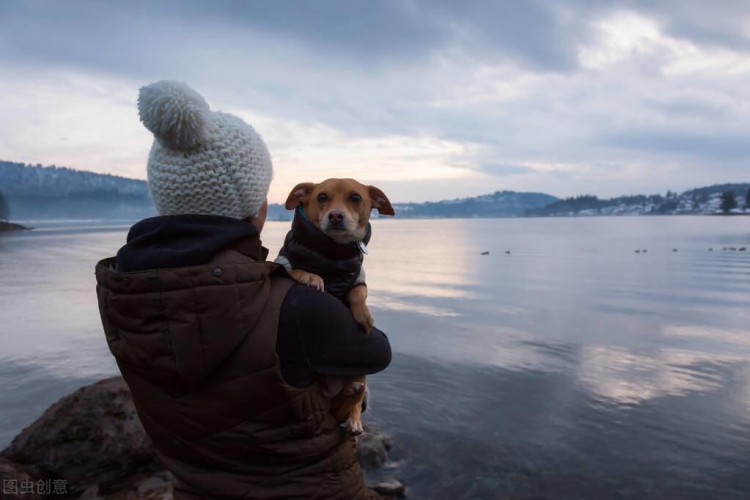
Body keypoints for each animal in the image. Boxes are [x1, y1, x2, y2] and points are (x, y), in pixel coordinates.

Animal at [280, 179, 396, 434]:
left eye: (355, 198)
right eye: (322, 197)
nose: (335, 215)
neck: (333, 256)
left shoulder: (358, 279)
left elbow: (358, 293)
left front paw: (365, 316)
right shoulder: (284, 262)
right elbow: (297, 270)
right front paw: (312, 277)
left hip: (360, 372)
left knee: (354, 401)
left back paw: (354, 414)